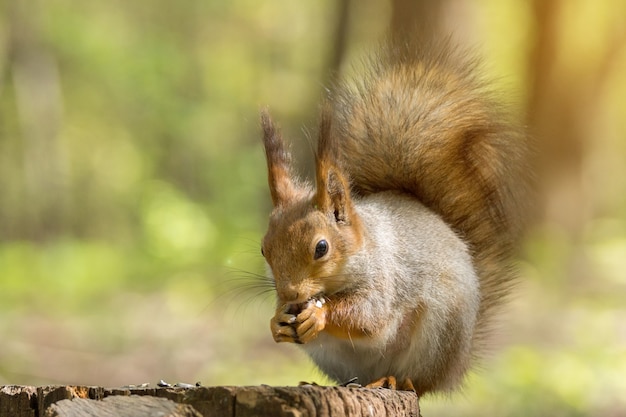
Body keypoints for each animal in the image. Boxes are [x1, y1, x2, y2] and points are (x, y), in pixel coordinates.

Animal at [258, 38, 528, 394]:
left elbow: (369, 317)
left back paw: (394, 379)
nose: (289, 294)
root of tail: (453, 369)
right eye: (264, 249)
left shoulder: (386, 278)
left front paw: (319, 315)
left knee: (415, 382)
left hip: (437, 335)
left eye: (321, 248)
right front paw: (277, 321)